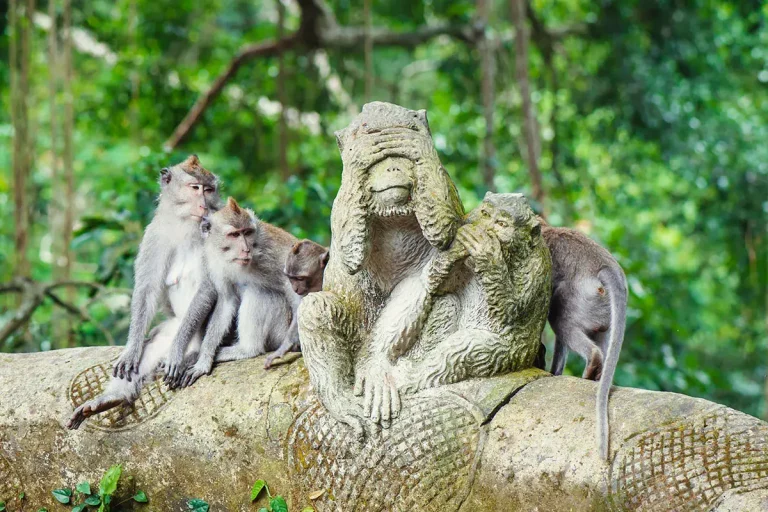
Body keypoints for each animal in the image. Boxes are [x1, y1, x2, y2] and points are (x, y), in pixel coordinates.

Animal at [67, 155, 219, 429]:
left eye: (209, 190)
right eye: (195, 188)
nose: (204, 204)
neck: (186, 225)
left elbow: (207, 288)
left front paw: (176, 353)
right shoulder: (154, 234)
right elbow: (146, 290)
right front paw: (131, 350)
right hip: (171, 326)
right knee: (154, 345)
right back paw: (112, 398)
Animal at [163, 197, 300, 388]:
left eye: (247, 232)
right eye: (234, 235)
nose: (246, 249)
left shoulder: (272, 252)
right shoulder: (213, 261)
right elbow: (227, 301)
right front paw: (203, 360)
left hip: (281, 330)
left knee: (259, 292)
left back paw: (248, 349)